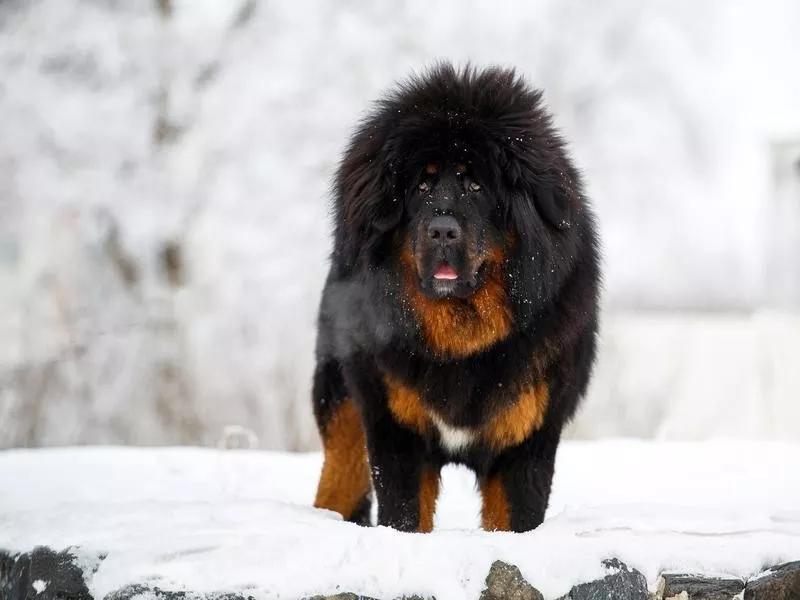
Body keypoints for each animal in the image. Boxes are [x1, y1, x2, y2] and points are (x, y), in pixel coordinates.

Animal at [310, 63, 596, 532]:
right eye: (421, 187)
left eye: (476, 186)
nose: (442, 230)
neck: (462, 339)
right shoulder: (395, 430)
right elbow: (404, 515)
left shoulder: (526, 438)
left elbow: (515, 518)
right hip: (342, 399)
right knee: (340, 474)